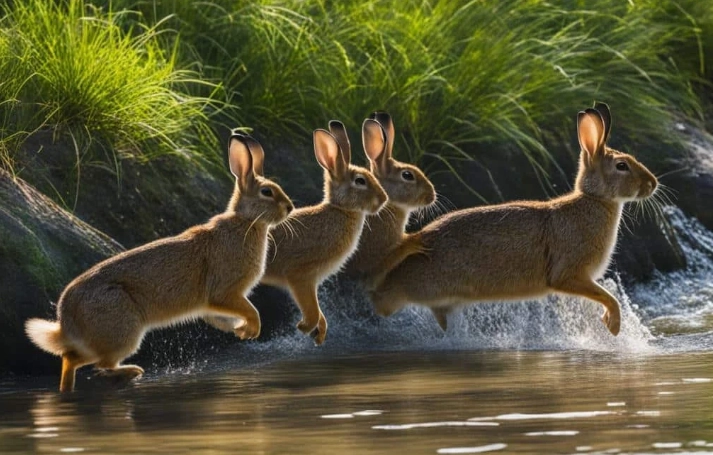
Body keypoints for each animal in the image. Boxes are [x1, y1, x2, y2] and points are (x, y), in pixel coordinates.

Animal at [25, 134, 294, 392]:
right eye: (267, 192)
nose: (290, 208)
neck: (247, 221)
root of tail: (66, 321)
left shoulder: (212, 305)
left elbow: (222, 319)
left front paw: (241, 331)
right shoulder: (225, 292)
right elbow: (250, 309)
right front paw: (253, 329)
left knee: (72, 358)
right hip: (123, 331)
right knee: (92, 362)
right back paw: (131, 371)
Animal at [260, 120, 388, 345]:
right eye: (360, 181)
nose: (383, 199)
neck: (341, 210)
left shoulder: (312, 283)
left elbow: (317, 309)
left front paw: (319, 334)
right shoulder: (301, 275)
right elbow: (311, 308)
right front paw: (304, 327)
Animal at [371, 103, 658, 336]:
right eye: (622, 166)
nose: (653, 184)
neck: (594, 199)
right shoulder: (569, 274)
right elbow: (608, 297)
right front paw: (614, 326)